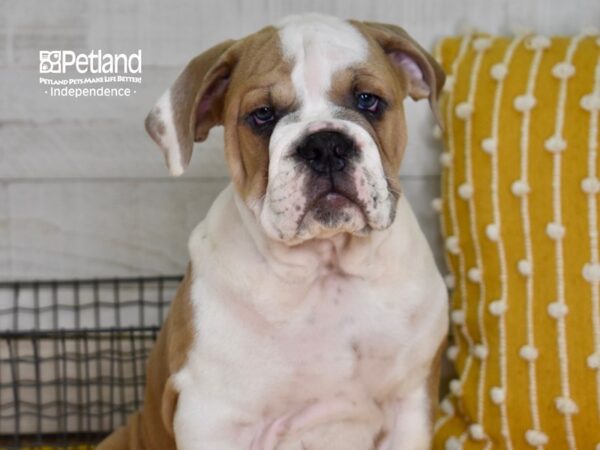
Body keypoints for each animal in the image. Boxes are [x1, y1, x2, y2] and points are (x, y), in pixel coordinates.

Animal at [97, 12, 446, 448]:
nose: (325, 145)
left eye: (368, 100)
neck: (326, 268)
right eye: (262, 115)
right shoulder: (213, 416)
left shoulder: (409, 404)